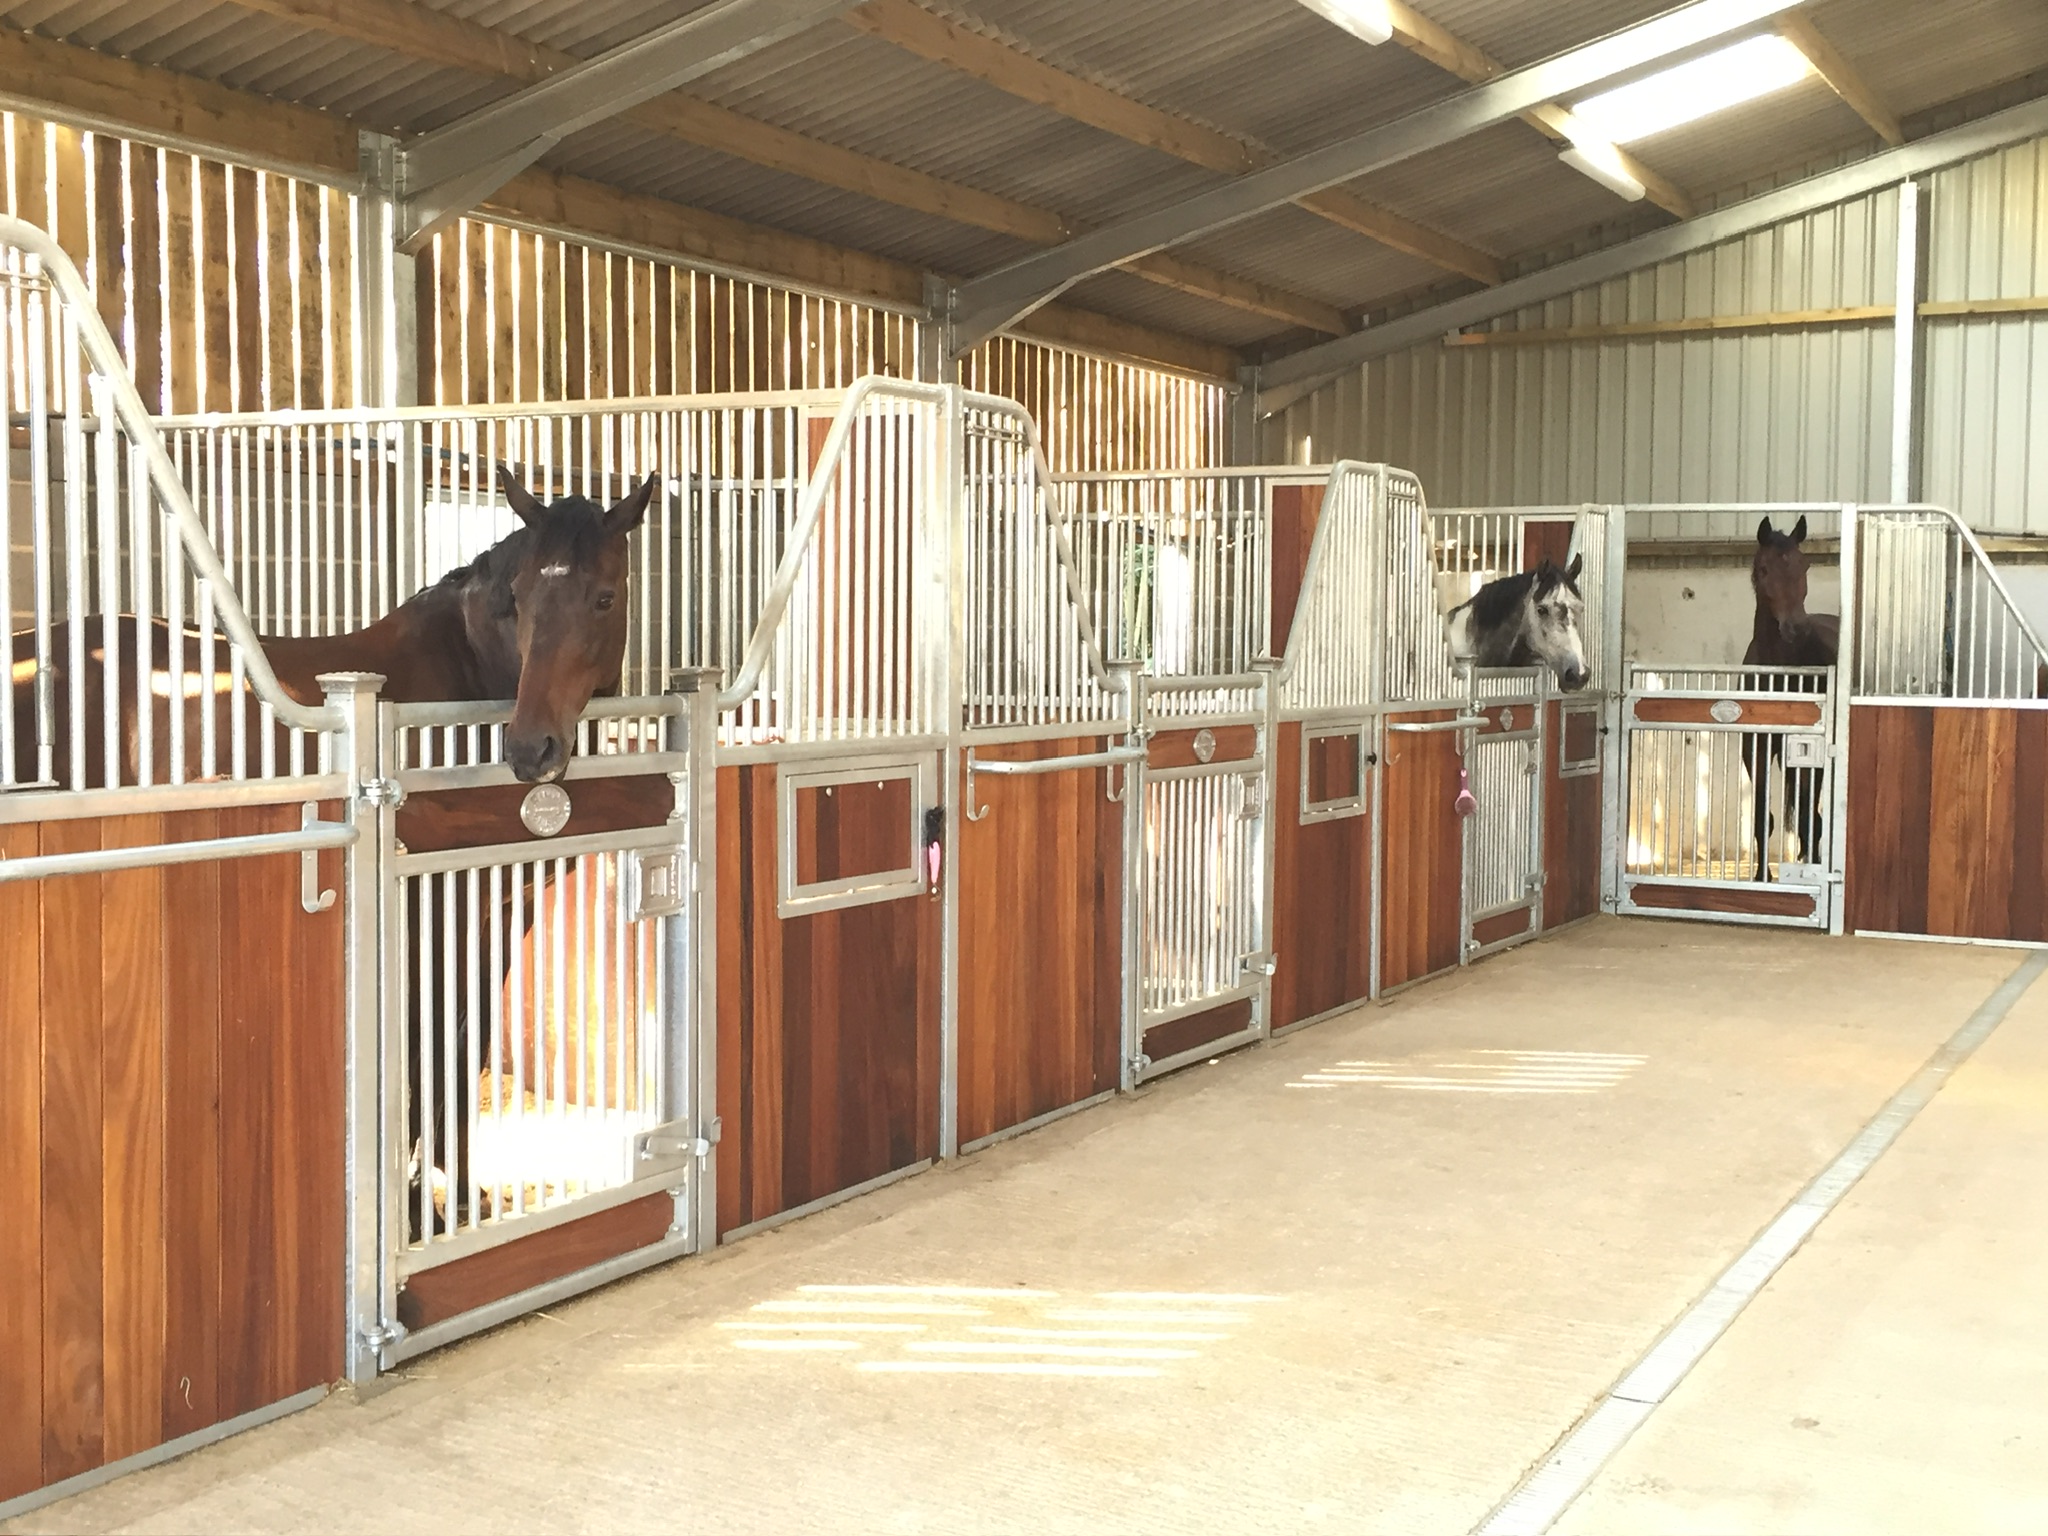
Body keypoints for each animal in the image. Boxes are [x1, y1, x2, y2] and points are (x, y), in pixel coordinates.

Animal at [10, 468, 656, 1231]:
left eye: (604, 596)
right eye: (520, 597)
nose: (532, 750)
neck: (465, 681)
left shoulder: (498, 910)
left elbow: (462, 1050)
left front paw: (459, 1194)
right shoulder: (428, 906)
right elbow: (425, 1046)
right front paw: (421, 1209)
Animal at [1741, 515, 1838, 882]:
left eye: (1804, 565)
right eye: (1764, 569)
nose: (1797, 627)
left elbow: (1809, 812)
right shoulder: (1756, 747)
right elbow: (1761, 816)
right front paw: (1761, 877)